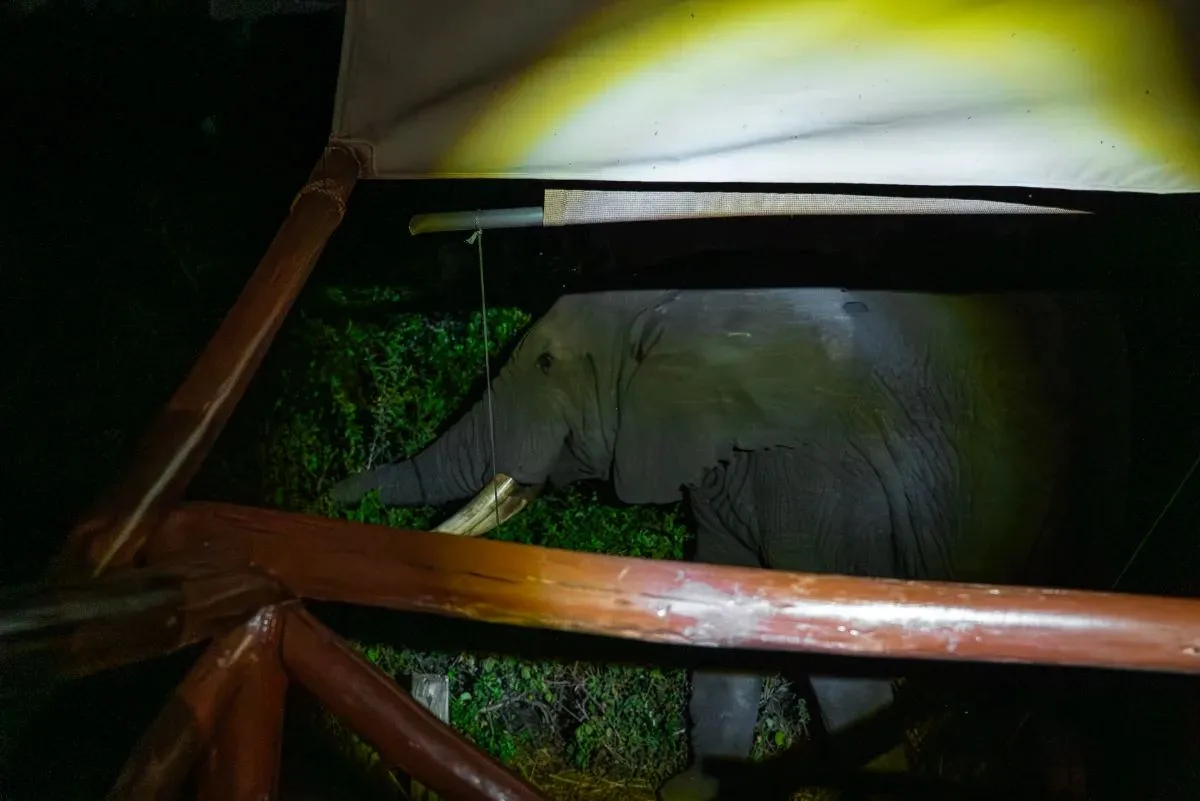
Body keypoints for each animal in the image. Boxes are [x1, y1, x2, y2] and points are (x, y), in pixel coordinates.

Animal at [330, 280, 1129, 799]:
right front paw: (693, 790)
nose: (329, 496)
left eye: (547, 364)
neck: (681, 314)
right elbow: (721, 618)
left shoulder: (821, 472)